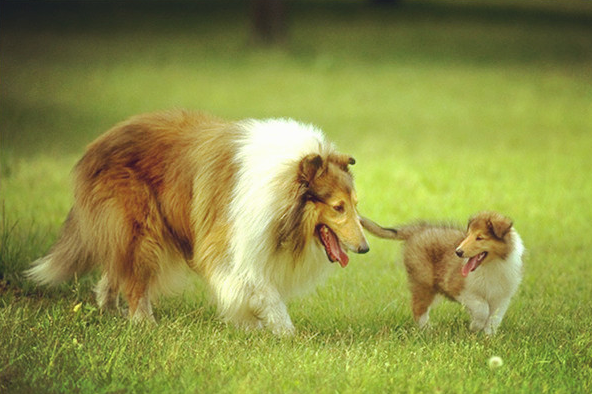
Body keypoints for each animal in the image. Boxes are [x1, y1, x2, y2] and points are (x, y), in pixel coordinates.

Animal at [28, 111, 370, 336]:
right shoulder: (227, 244)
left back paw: (111, 311)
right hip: (141, 228)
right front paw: (282, 332)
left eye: (355, 205)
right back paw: (143, 323)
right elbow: (259, 288)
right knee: (135, 278)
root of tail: (94, 147)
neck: (281, 188)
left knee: (117, 269)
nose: (365, 248)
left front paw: (257, 326)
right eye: (337, 207)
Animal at [360, 212, 524, 336]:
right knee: (418, 308)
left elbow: (494, 318)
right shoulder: (458, 288)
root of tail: (418, 230)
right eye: (468, 235)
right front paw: (475, 326)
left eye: (479, 237)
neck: (491, 265)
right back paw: (428, 330)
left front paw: (487, 337)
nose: (458, 252)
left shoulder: (502, 297)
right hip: (424, 282)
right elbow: (482, 308)